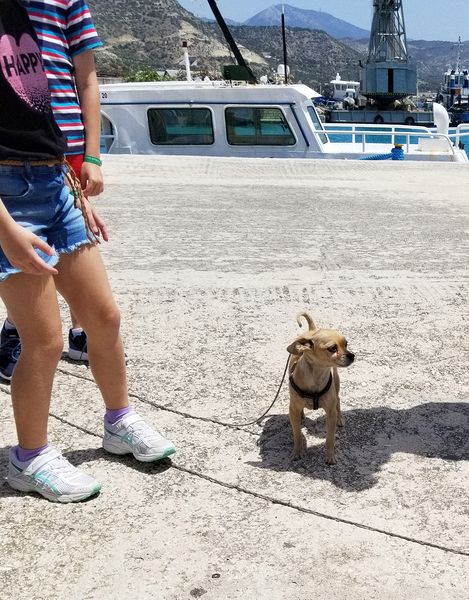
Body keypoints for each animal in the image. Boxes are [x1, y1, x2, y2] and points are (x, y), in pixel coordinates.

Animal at [286, 312, 354, 466]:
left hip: (336, 383)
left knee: (338, 400)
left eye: (346, 344)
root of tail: (312, 329)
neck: (316, 376)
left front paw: (330, 456)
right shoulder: (292, 409)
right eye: (332, 348)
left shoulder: (330, 412)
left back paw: (340, 418)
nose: (352, 355)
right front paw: (297, 452)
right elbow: (297, 434)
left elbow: (330, 438)